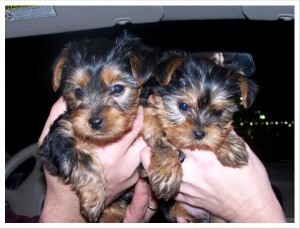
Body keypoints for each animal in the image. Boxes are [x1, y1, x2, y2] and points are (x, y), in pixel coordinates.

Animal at [39, 33, 155, 223]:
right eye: (78, 92)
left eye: (118, 88)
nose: (94, 122)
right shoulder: (61, 133)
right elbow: (83, 160)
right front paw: (93, 200)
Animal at [142, 50, 258, 222]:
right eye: (183, 106)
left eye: (218, 112)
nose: (199, 133)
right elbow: (158, 136)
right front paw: (167, 173)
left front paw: (230, 145)